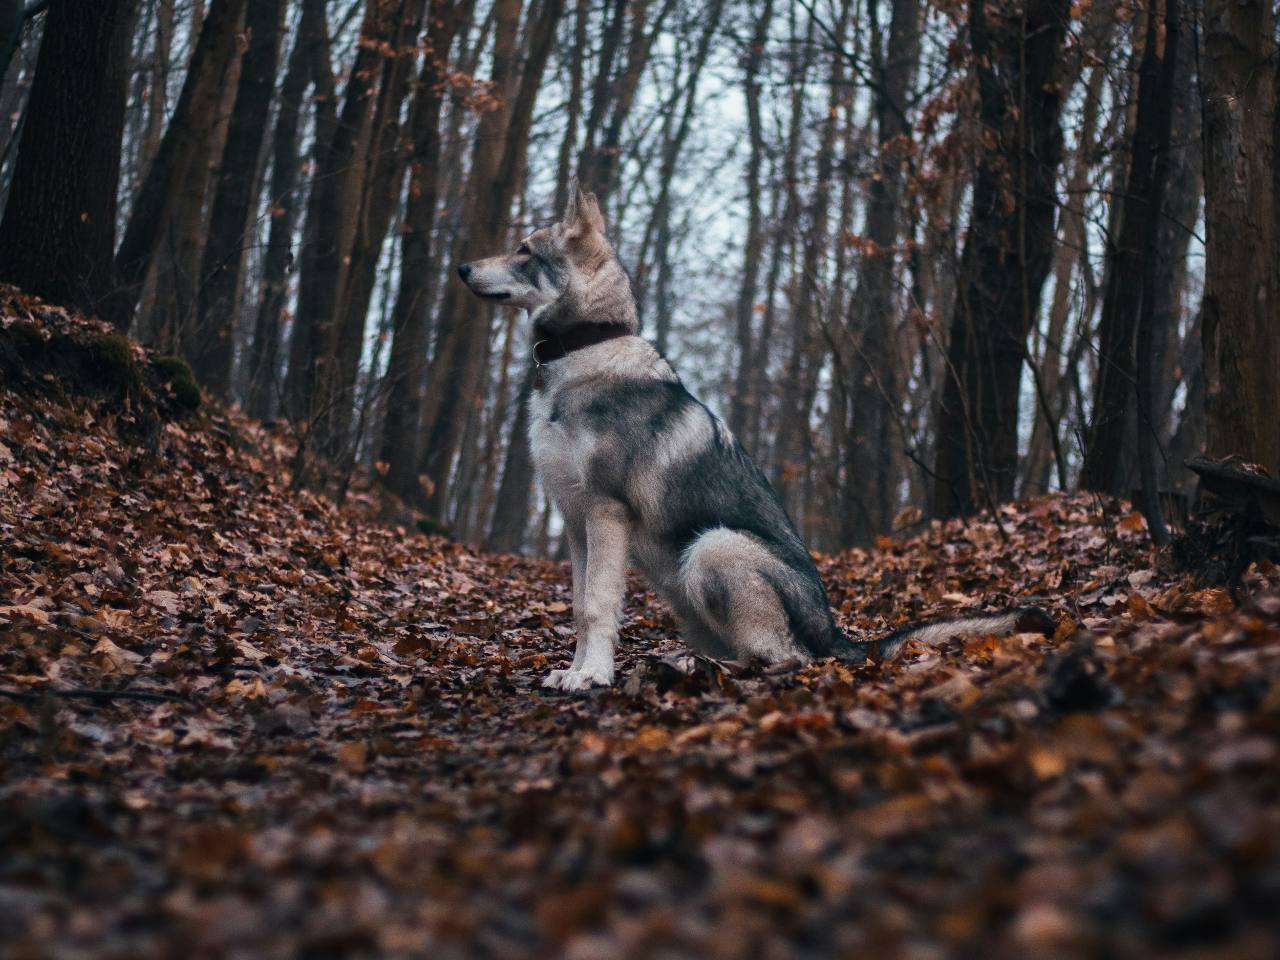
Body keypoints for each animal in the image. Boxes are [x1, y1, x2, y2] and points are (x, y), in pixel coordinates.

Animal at [460, 181, 1049, 691]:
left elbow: (597, 607)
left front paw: (593, 677)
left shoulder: (604, 513)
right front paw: (576, 670)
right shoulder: (576, 524)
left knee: (784, 659)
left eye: (524, 250)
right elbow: (582, 607)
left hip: (713, 548)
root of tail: (839, 636)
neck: (586, 350)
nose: (463, 267)